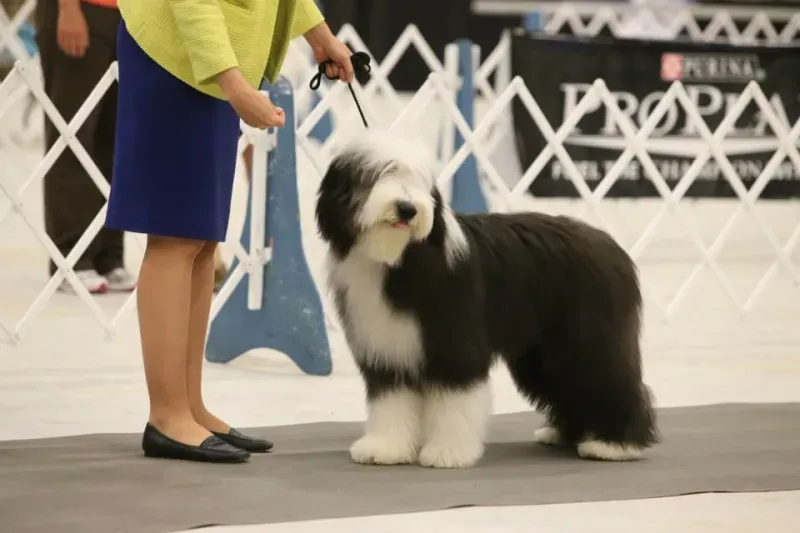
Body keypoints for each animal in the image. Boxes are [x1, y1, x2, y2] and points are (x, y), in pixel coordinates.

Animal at [312, 131, 656, 468]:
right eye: (377, 174)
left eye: (417, 178)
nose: (407, 208)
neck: (400, 258)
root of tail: (611, 246)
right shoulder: (387, 349)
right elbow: (390, 401)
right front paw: (385, 448)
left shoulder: (455, 344)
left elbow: (454, 400)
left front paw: (448, 452)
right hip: (542, 354)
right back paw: (566, 434)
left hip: (588, 340)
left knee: (611, 380)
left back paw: (615, 445)